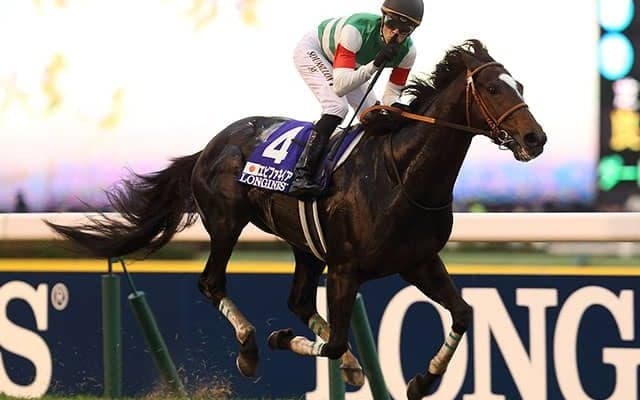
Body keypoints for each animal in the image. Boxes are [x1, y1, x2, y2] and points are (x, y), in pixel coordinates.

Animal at [46, 39, 546, 399]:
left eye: (520, 86)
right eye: (493, 88)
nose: (535, 138)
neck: (402, 173)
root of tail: (211, 145)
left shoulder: (418, 261)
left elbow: (462, 313)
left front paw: (422, 381)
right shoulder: (346, 269)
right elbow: (337, 339)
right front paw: (278, 342)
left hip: (304, 244)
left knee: (300, 301)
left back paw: (347, 367)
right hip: (226, 223)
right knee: (213, 283)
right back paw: (250, 349)